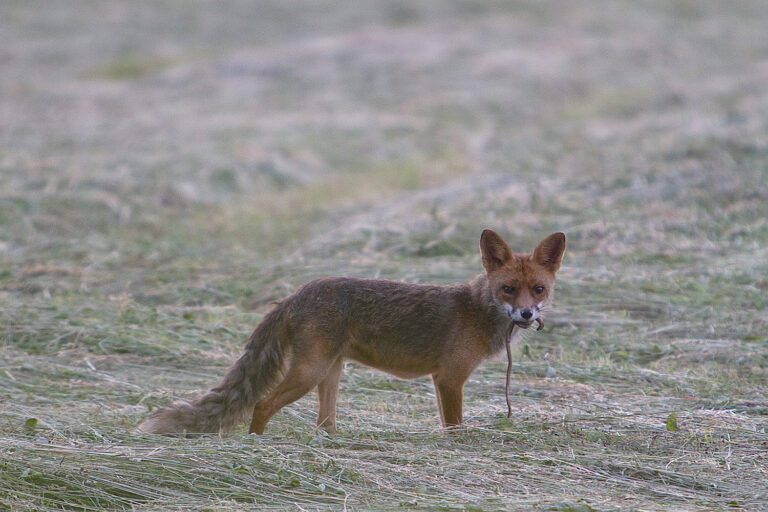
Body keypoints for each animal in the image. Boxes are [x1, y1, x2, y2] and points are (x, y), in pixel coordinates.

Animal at [140, 230, 564, 434]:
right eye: (507, 289)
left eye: (538, 289)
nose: (526, 313)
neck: (477, 310)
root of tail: (294, 294)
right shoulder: (449, 379)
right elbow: (455, 427)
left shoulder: (442, 381)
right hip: (308, 373)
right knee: (261, 405)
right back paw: (255, 446)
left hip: (330, 374)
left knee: (324, 424)